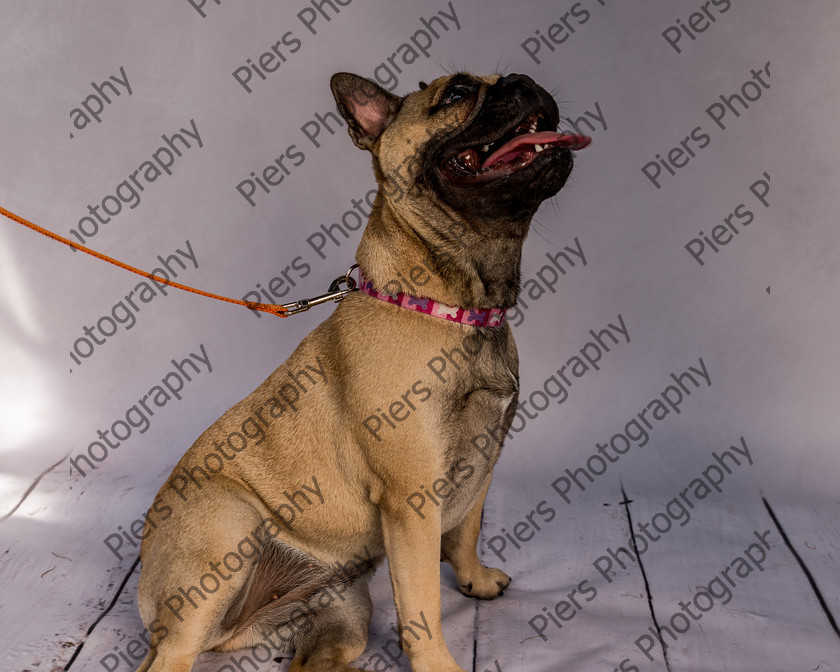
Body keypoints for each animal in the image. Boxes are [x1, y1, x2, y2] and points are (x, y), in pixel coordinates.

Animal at [135, 71, 588, 668]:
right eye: (457, 92)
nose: (523, 79)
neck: (451, 304)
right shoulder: (413, 498)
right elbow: (422, 601)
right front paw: (438, 661)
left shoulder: (483, 460)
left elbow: (467, 530)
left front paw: (475, 579)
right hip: (227, 528)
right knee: (172, 654)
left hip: (342, 613)